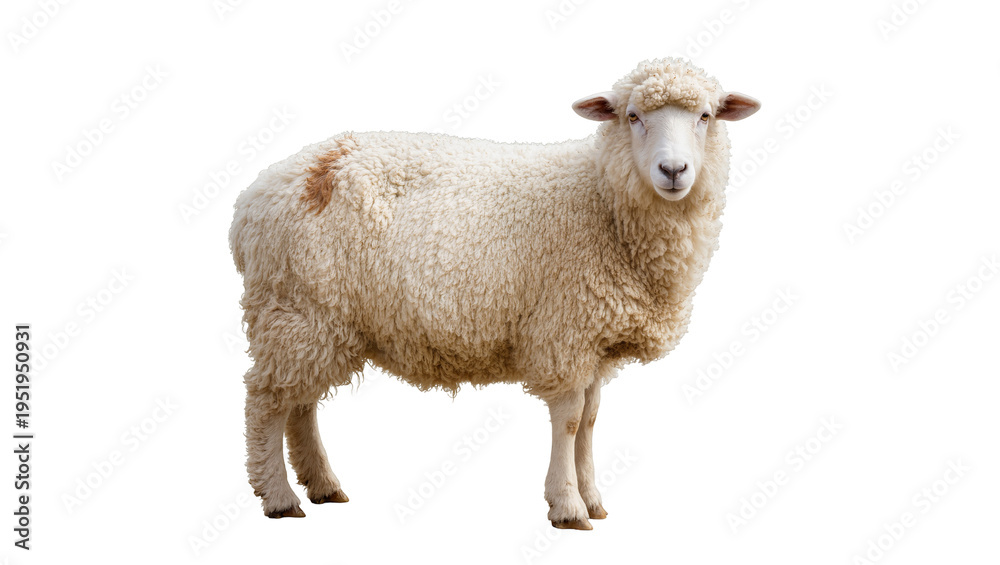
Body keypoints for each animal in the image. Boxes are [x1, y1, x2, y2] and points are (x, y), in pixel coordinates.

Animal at [229, 57, 759, 529]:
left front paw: (593, 499)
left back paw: (322, 485)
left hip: (314, 320)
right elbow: (570, 421)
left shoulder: (594, 338)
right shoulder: (564, 332)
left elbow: (590, 422)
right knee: (266, 402)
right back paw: (279, 496)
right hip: (296, 308)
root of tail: (257, 194)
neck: (601, 200)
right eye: (632, 116)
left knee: (300, 402)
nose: (674, 170)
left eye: (706, 116)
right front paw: (567, 506)